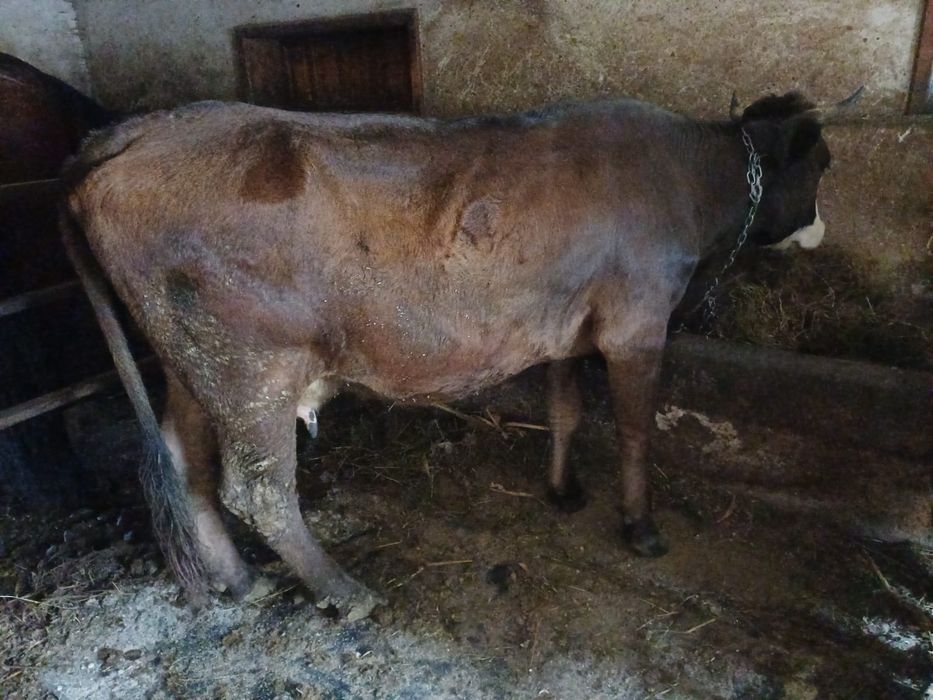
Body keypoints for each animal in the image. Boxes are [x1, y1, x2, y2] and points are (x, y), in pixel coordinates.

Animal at [61, 89, 855, 619]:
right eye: (821, 161)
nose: (818, 232)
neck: (685, 179)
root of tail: (131, 132)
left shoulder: (566, 325)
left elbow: (565, 410)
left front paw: (563, 492)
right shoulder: (637, 322)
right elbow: (634, 431)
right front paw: (641, 528)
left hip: (192, 364)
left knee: (184, 462)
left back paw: (237, 579)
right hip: (250, 367)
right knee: (257, 489)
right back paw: (343, 591)